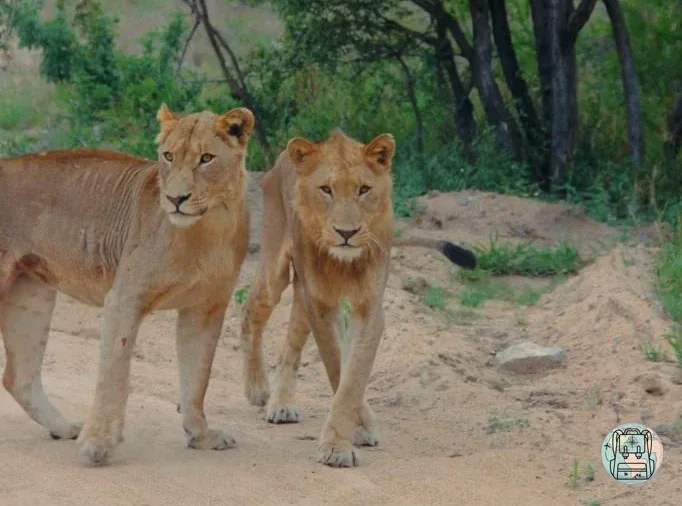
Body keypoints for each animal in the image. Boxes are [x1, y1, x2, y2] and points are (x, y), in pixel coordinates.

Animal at [0, 103, 254, 465]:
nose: (176, 198)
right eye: (168, 156)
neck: (209, 229)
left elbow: (197, 376)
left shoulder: (205, 308)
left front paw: (201, 436)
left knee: (19, 376)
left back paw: (63, 428)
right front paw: (98, 444)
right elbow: (114, 373)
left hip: (30, 294)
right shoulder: (124, 297)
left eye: (206, 158)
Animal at [240, 129, 476, 467]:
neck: (344, 263)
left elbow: (353, 375)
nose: (346, 232)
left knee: (291, 346)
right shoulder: (321, 304)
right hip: (277, 268)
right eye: (326, 190)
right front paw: (345, 439)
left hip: (303, 295)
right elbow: (336, 364)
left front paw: (347, 436)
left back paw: (281, 403)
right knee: (251, 310)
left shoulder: (368, 308)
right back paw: (258, 389)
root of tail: (282, 159)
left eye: (364, 189)